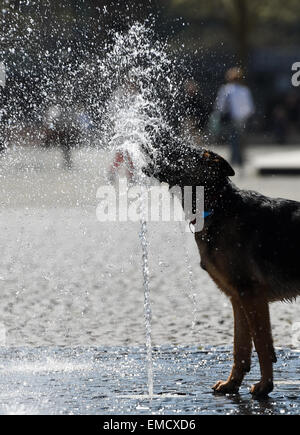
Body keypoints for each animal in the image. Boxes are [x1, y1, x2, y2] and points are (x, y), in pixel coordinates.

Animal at [142, 142, 300, 398]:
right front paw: (232, 383)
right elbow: (241, 347)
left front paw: (265, 386)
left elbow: (262, 344)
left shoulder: (252, 295)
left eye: (180, 147)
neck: (218, 205)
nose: (152, 138)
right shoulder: (238, 298)